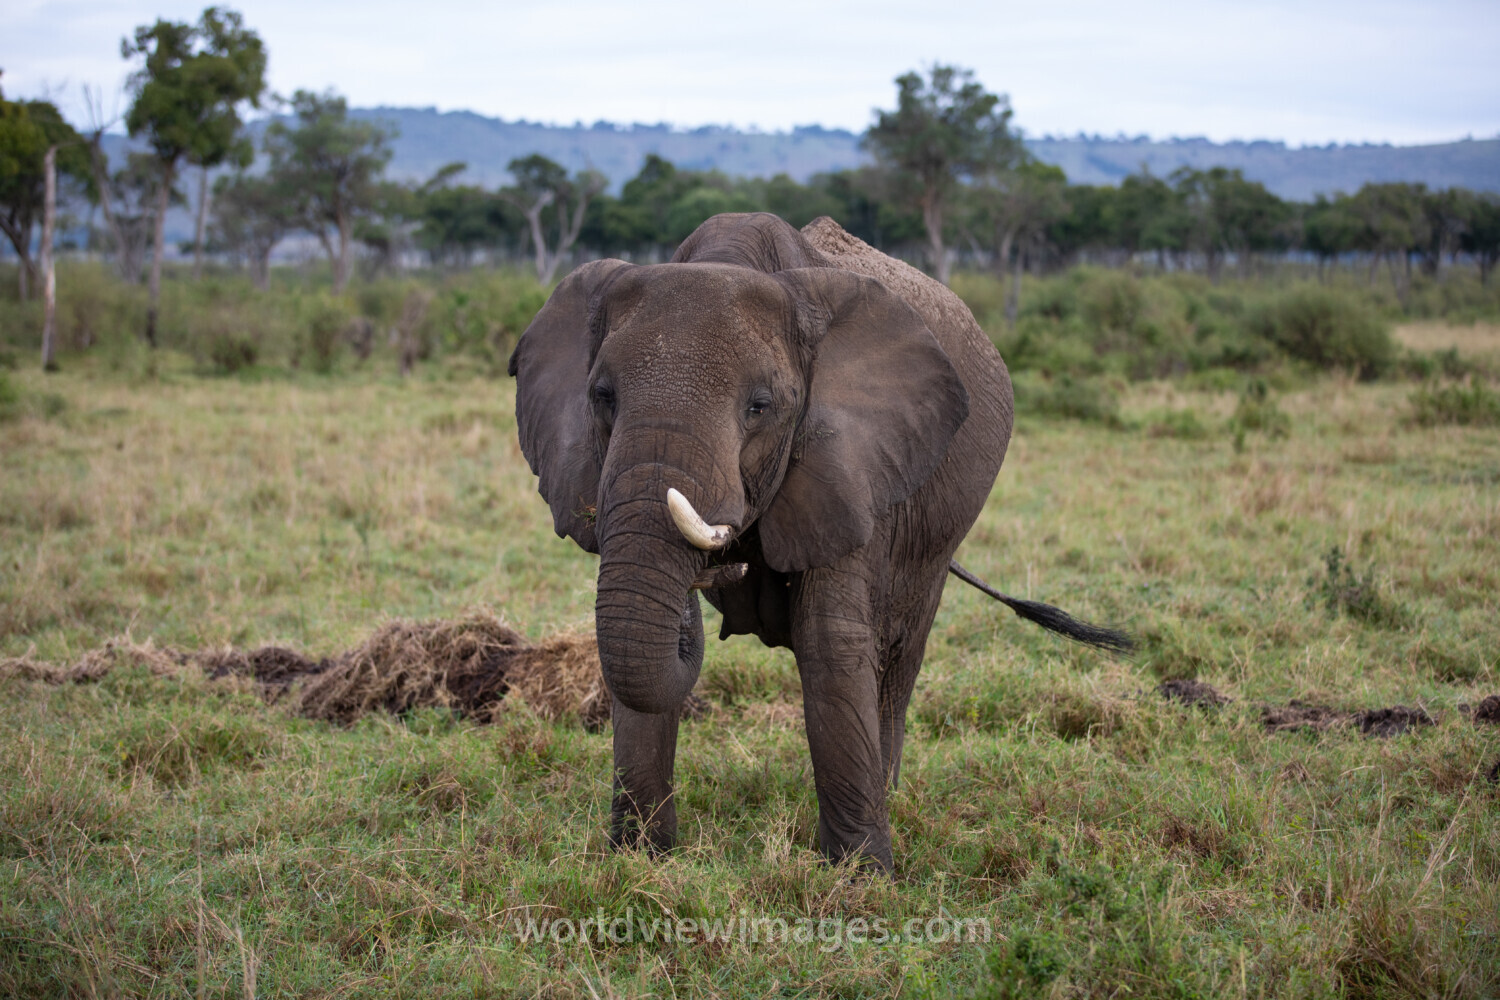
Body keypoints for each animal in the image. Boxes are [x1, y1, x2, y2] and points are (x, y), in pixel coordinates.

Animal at [508, 212, 1128, 871]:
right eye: (602, 397)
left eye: (760, 407)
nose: (714, 566)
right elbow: (629, 639)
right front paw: (639, 859)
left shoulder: (855, 464)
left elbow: (830, 641)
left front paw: (859, 875)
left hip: (936, 530)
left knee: (898, 652)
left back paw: (889, 794)